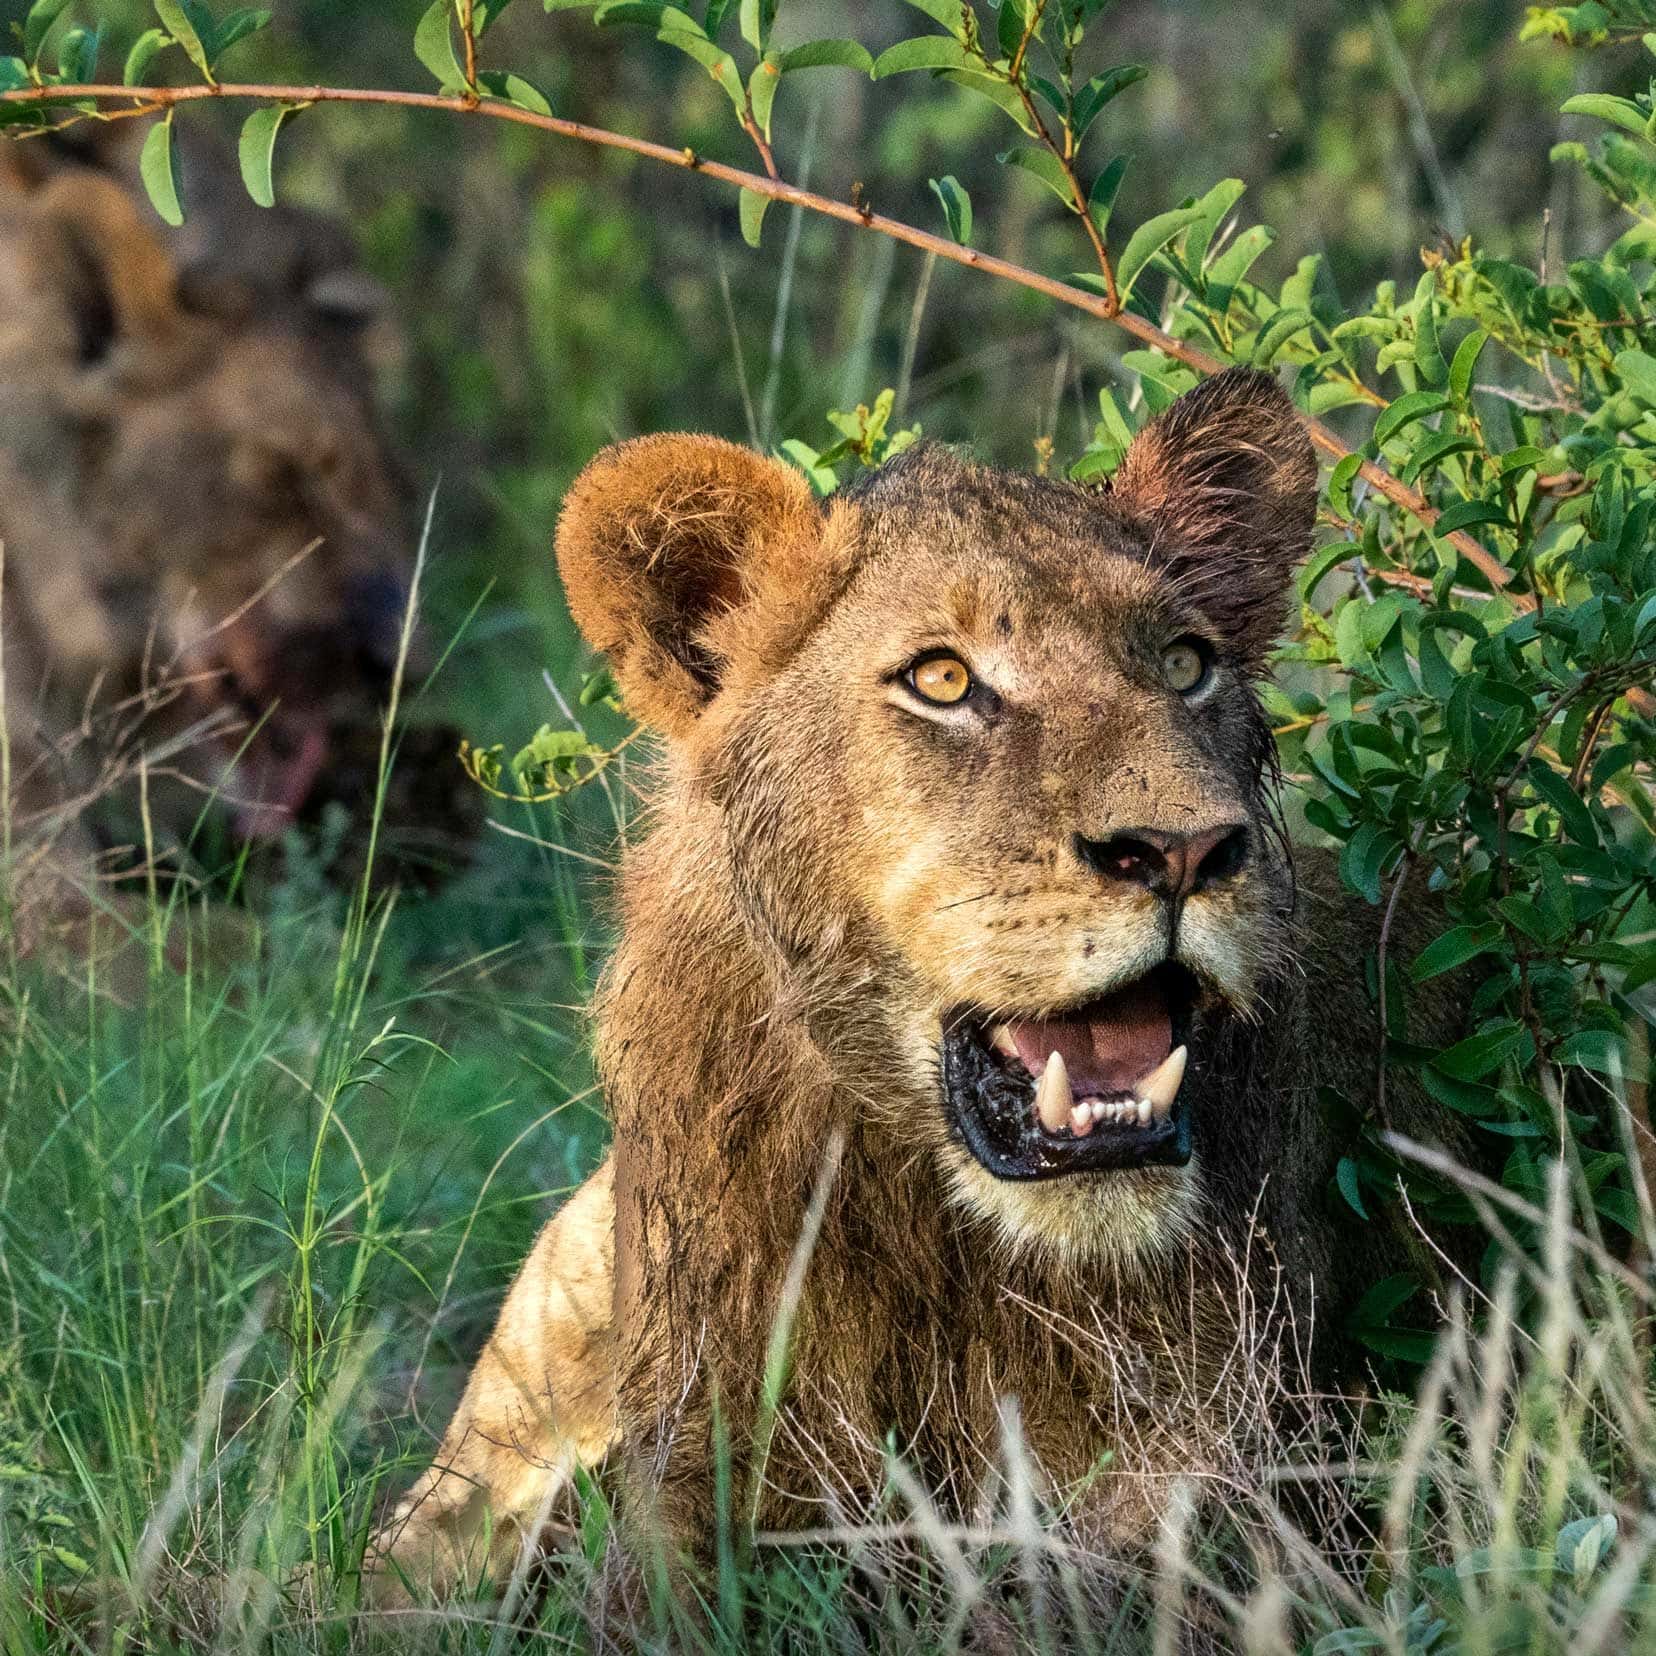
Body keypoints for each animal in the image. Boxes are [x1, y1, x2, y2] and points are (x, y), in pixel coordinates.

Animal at [369, 372, 1470, 1589]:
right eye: (942, 680)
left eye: (1187, 664)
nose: (1185, 850)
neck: (934, 1231)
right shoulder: (695, 1455)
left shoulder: (1217, 1459)